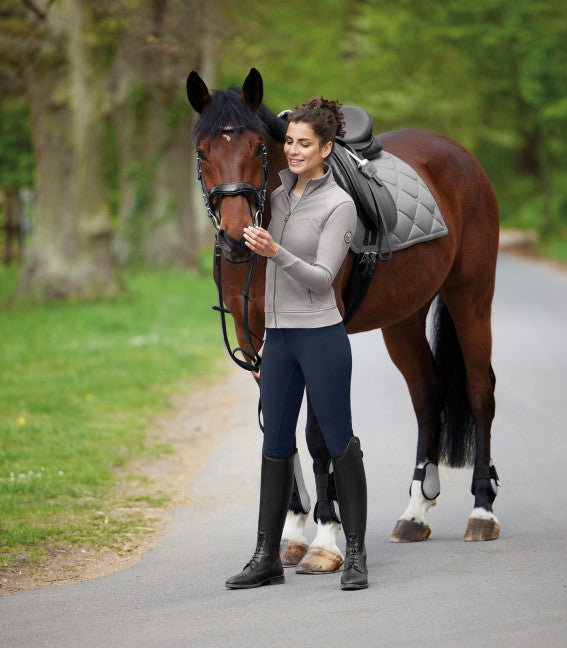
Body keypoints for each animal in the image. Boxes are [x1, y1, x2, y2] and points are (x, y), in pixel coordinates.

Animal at [187, 68, 502, 576]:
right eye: (203, 152)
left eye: (257, 149)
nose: (236, 239)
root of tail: (456, 153)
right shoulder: (254, 340)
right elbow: (278, 430)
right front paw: (293, 531)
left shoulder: (316, 336)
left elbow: (317, 438)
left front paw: (325, 538)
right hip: (403, 319)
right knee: (427, 394)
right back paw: (415, 512)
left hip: (470, 296)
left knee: (479, 392)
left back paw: (482, 511)